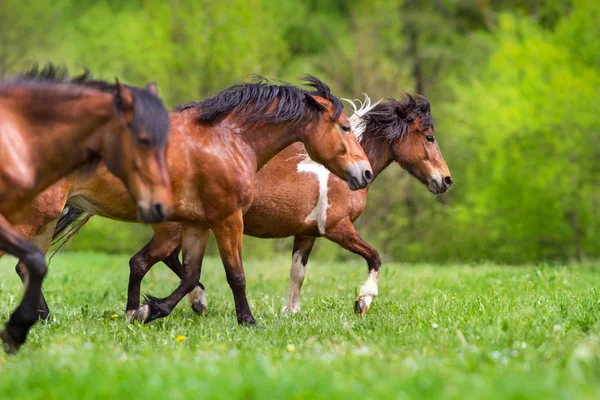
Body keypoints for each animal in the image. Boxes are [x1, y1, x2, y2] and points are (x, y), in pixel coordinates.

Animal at [5, 75, 370, 328]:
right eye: (345, 127)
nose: (365, 173)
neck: (227, 139)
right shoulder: (228, 219)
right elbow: (235, 275)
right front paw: (248, 321)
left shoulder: (197, 224)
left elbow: (191, 276)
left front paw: (147, 311)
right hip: (34, 217)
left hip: (47, 218)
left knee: (26, 265)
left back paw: (43, 318)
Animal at [58, 90, 450, 318]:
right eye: (429, 137)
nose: (446, 180)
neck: (336, 172)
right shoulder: (338, 228)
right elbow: (375, 257)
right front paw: (362, 301)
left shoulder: (306, 234)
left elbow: (297, 273)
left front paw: (289, 313)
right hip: (175, 230)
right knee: (149, 261)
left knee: (171, 263)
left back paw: (193, 302)